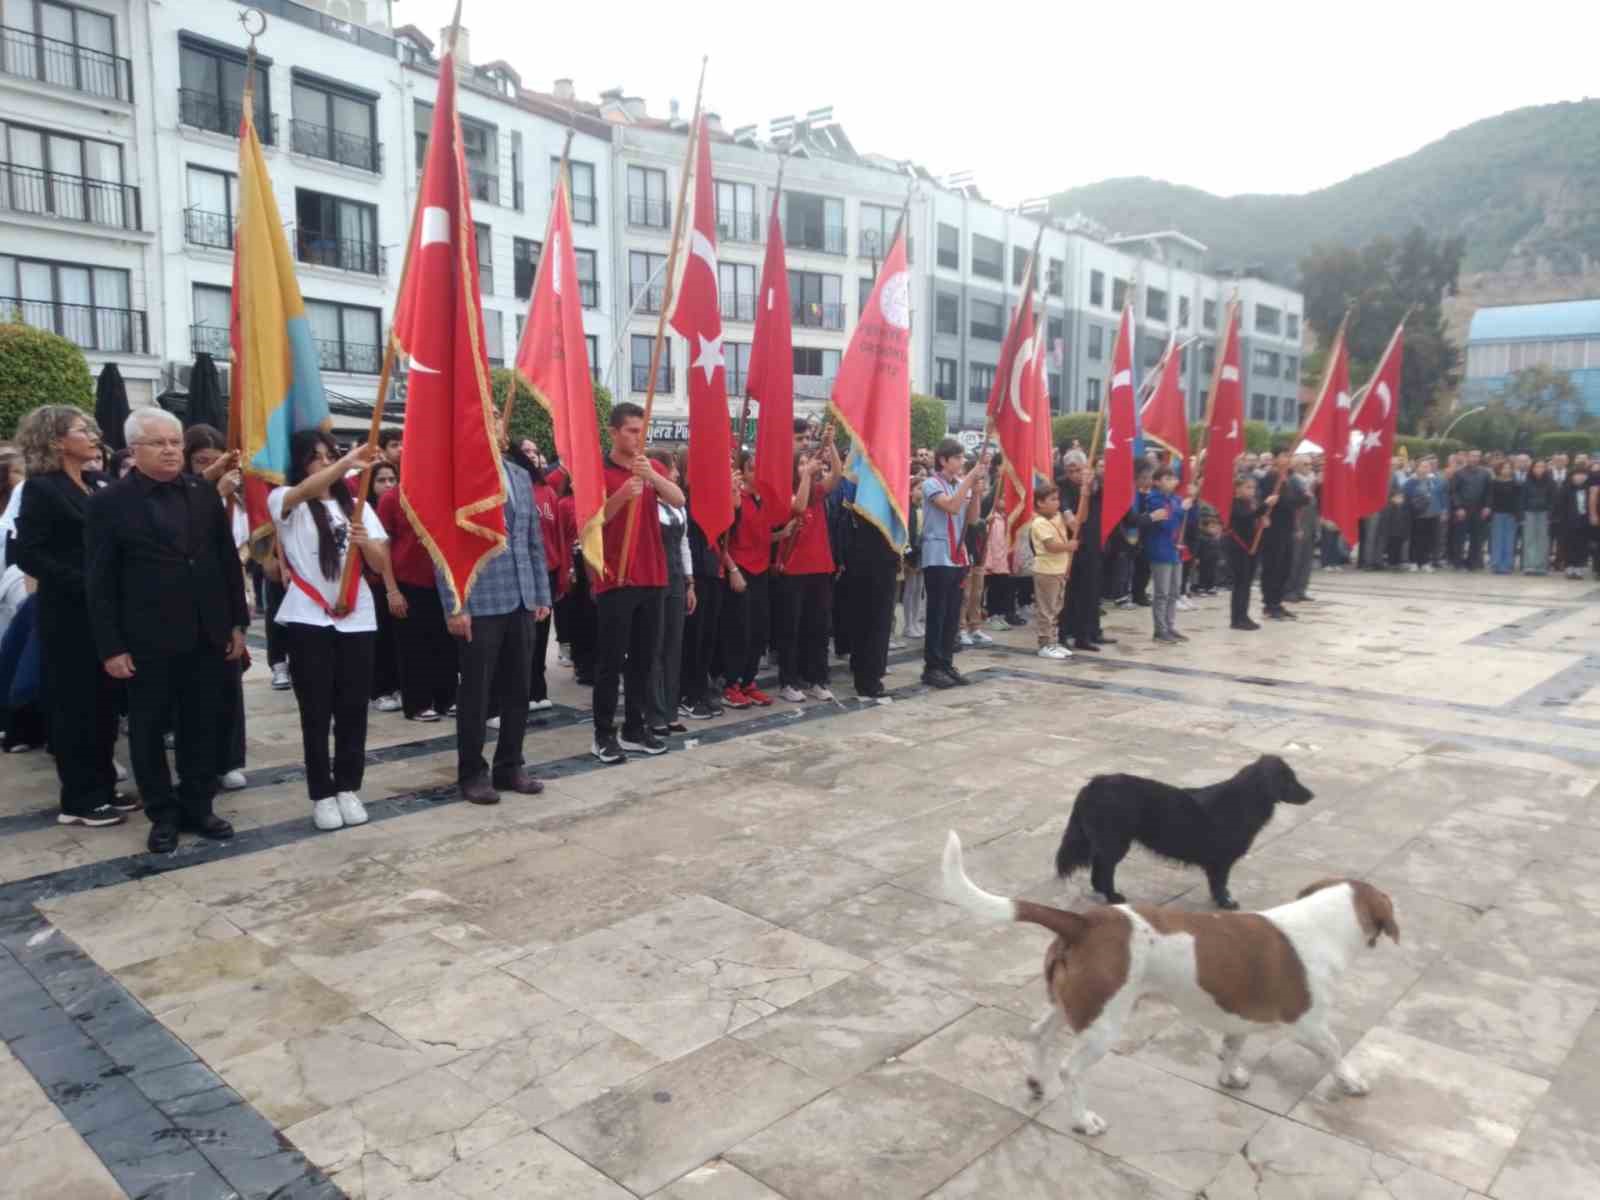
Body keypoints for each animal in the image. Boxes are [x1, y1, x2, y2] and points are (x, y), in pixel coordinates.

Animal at [940, 832, 1395, 1139]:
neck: (1324, 921)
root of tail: (1084, 922)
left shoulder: (1238, 1014)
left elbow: (1232, 1045)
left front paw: (1230, 1076)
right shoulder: (1309, 1024)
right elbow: (1334, 1050)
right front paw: (1351, 1082)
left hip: (1073, 1004)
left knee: (1037, 1034)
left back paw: (1035, 1083)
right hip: (1102, 1024)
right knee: (1070, 1070)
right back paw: (1083, 1120)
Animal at [1049, 755, 1312, 915]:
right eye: (1289, 779)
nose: (1312, 795)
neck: (1244, 801)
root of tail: (1092, 785)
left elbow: (1219, 884)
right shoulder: (1222, 860)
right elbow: (1220, 884)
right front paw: (1225, 903)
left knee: (1099, 866)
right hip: (1116, 841)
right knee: (1105, 868)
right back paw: (1113, 897)